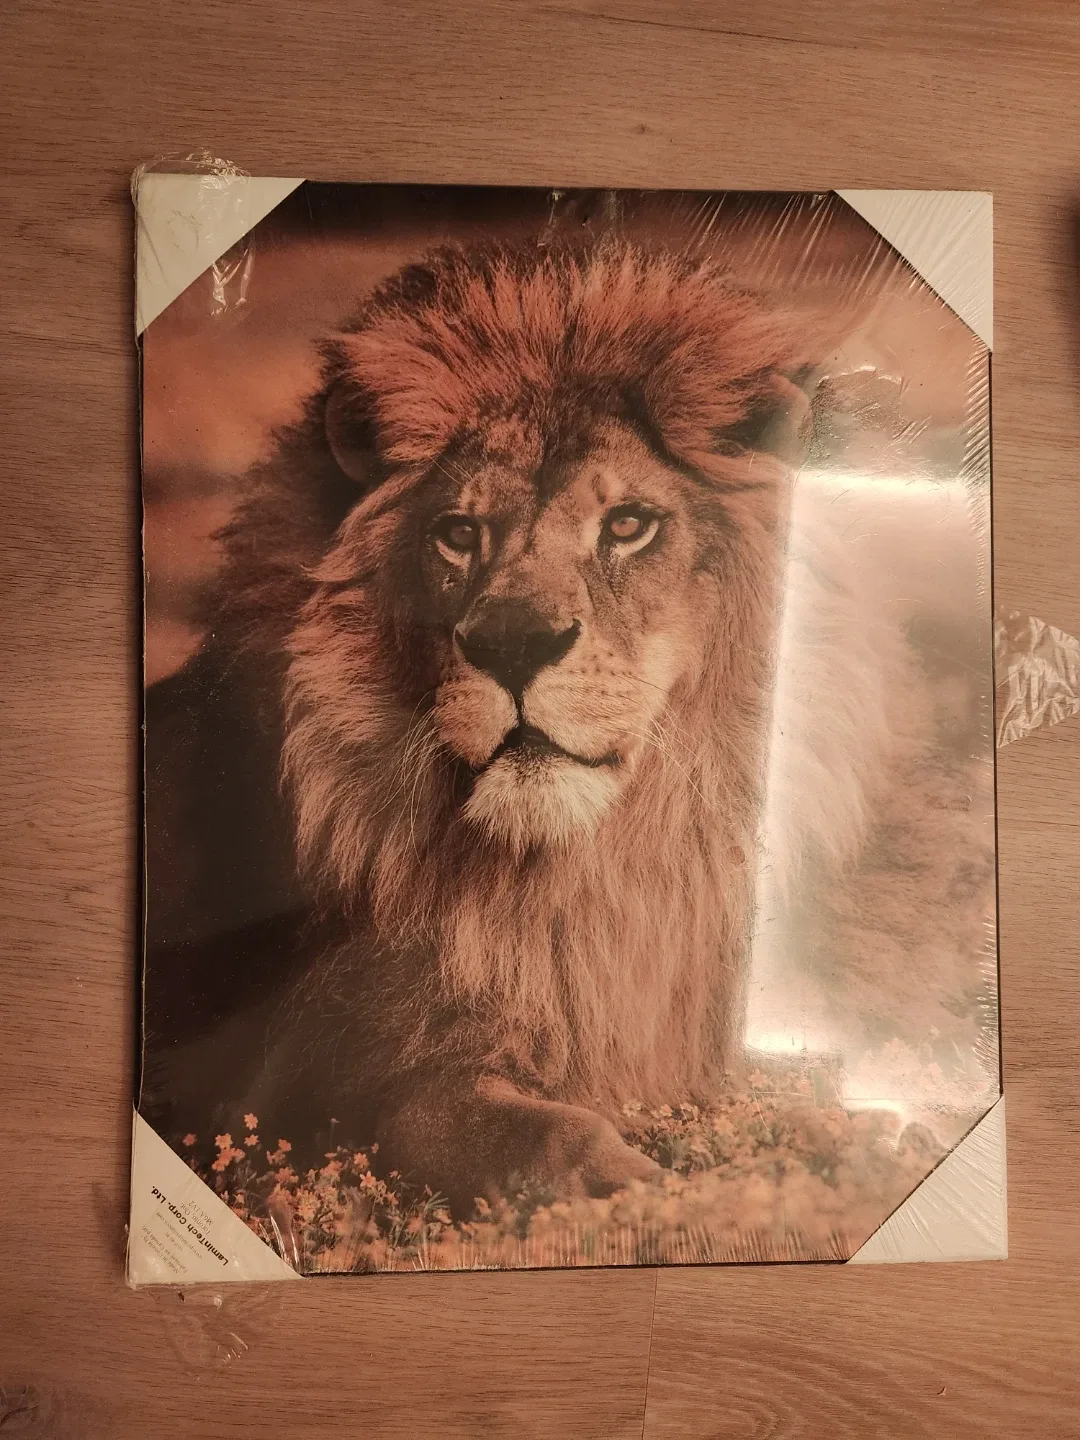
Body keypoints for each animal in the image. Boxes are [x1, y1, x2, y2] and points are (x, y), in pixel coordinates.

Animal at [145, 240, 964, 1213]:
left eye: (630, 524)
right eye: (457, 532)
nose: (512, 641)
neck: (595, 883)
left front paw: (863, 1138)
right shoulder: (303, 1074)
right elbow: (476, 1123)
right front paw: (643, 1192)